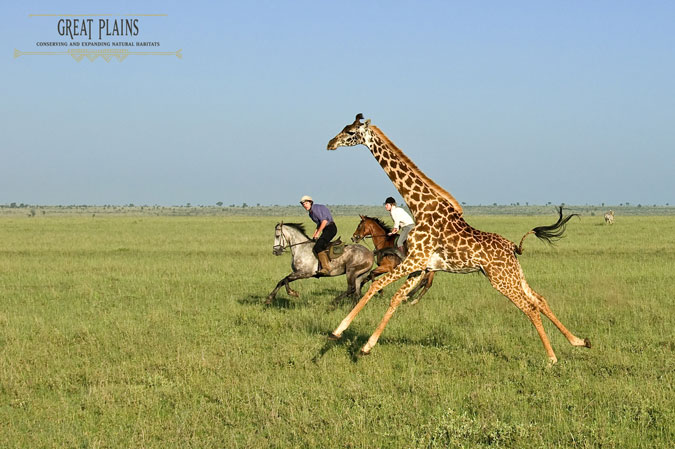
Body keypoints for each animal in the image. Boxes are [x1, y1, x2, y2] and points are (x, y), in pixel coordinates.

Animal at [324, 114, 588, 362]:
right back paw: (579, 341)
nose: (330, 143)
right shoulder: (419, 266)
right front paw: (366, 345)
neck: (420, 207)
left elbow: (376, 284)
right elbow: (396, 297)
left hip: (500, 279)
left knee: (530, 307)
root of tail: (513, 246)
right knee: (540, 299)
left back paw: (552, 358)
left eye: (350, 132)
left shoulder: (414, 260)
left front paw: (338, 332)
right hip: (513, 274)